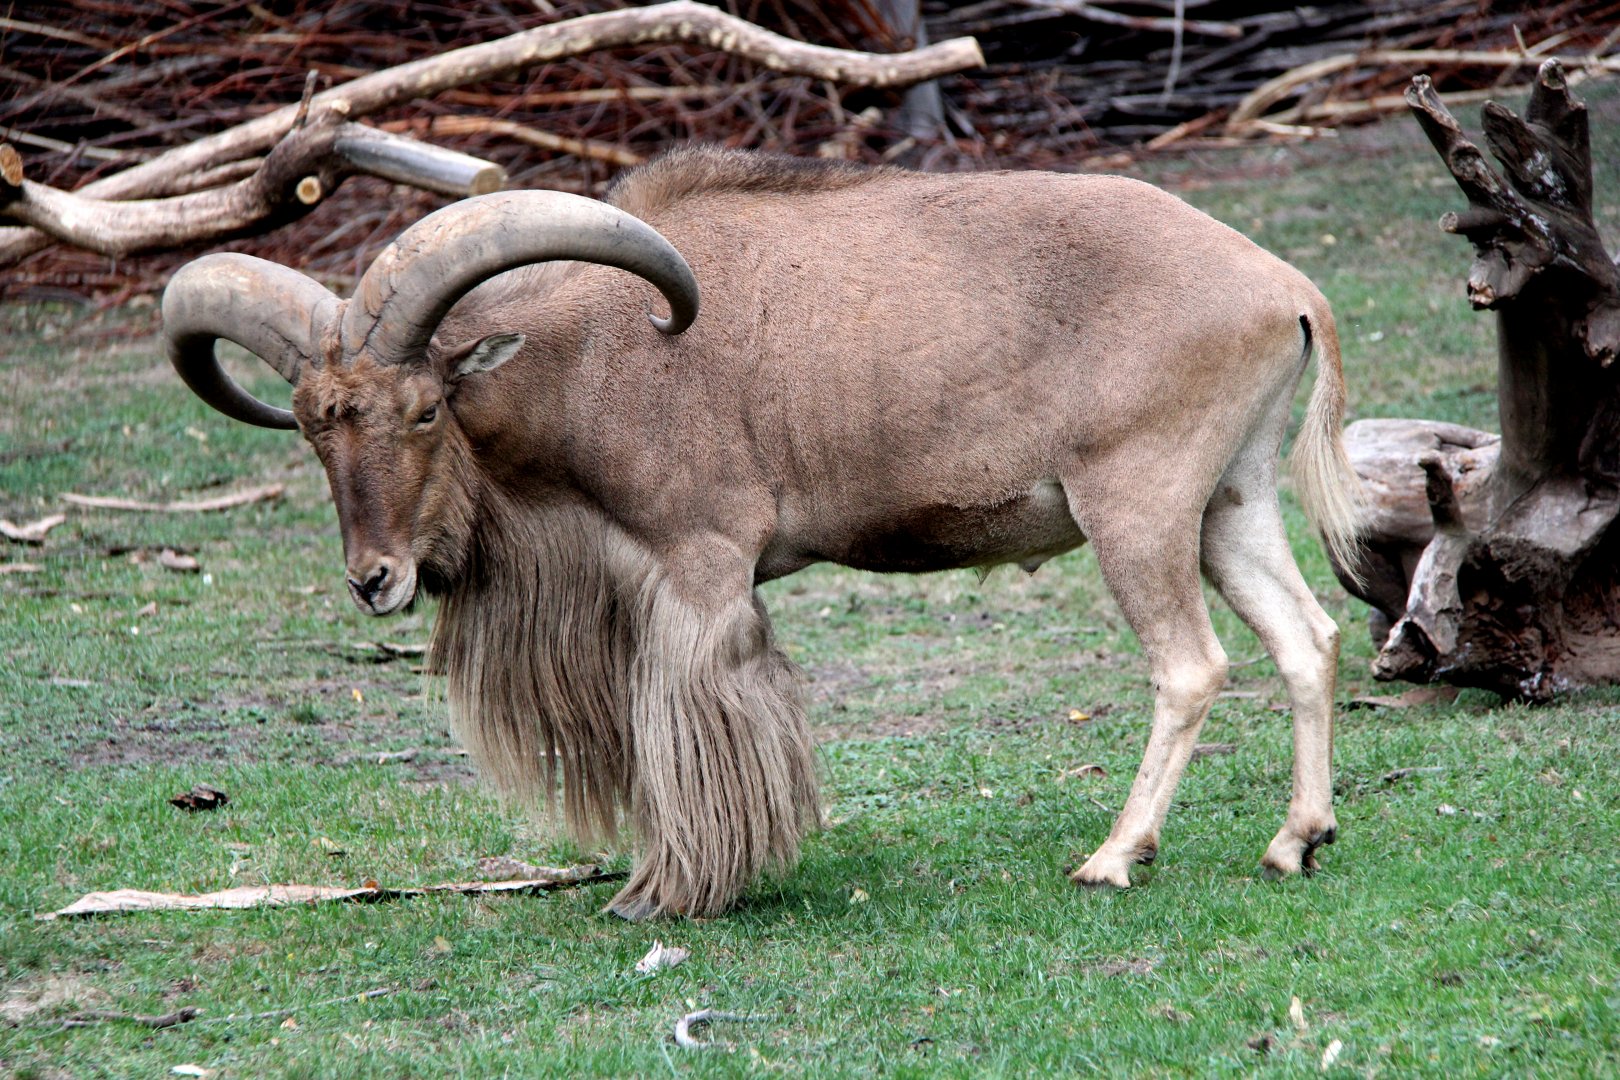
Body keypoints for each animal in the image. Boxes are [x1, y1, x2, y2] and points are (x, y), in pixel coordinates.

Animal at [162, 146, 1362, 919]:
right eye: (313, 427)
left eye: (422, 411)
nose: (374, 580)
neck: (594, 359)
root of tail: (1287, 285)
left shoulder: (699, 564)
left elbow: (691, 723)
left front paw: (666, 896)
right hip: (1231, 503)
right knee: (1307, 638)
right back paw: (1296, 841)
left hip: (1138, 505)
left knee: (1193, 666)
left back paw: (1113, 858)